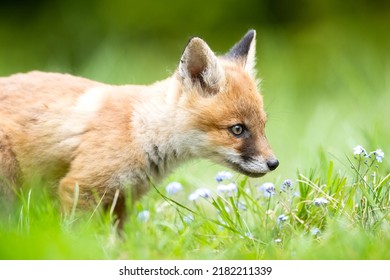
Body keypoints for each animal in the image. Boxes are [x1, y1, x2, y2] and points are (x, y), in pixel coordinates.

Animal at [1, 30, 278, 228]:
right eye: (238, 129)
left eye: (263, 125)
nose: (274, 163)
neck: (138, 132)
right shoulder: (79, 187)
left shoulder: (122, 200)